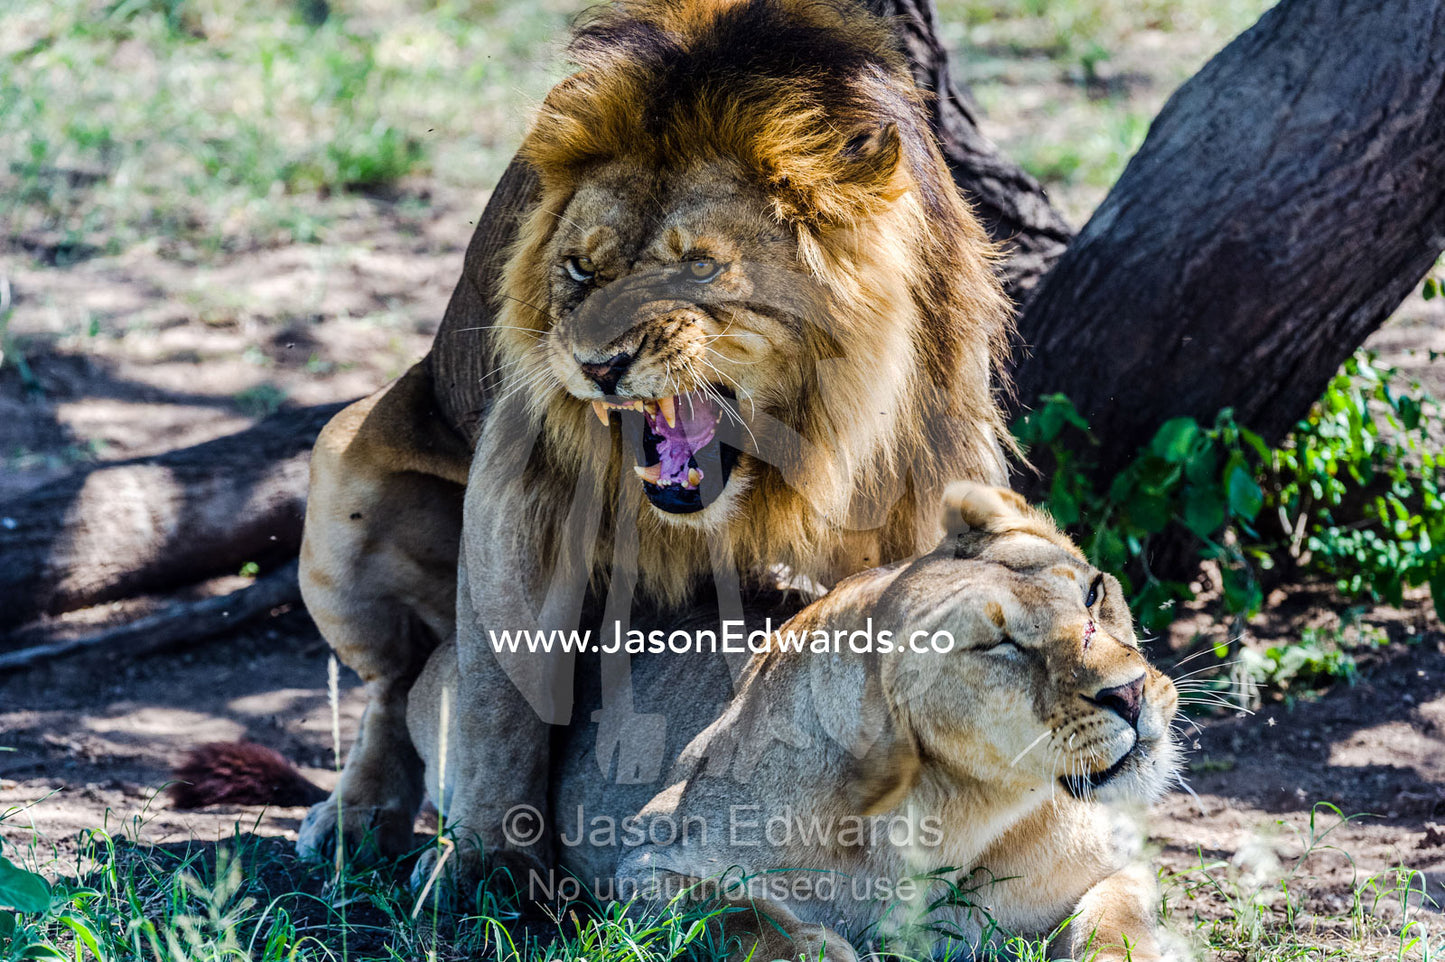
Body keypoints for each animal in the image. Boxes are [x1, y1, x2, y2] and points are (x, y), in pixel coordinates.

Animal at [294, 0, 1015, 889]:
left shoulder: (933, 470)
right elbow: (500, 693)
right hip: (340, 460)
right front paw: (485, 866)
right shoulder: (522, 471)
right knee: (396, 683)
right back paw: (353, 819)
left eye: (698, 269)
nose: (596, 363)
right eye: (579, 268)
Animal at [407, 482, 1182, 961]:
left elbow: (1117, 922)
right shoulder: (649, 862)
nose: (1130, 694)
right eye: (1001, 647)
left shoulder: (1113, 867)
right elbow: (737, 916)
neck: (959, 813)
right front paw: (817, 949)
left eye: (1095, 592)